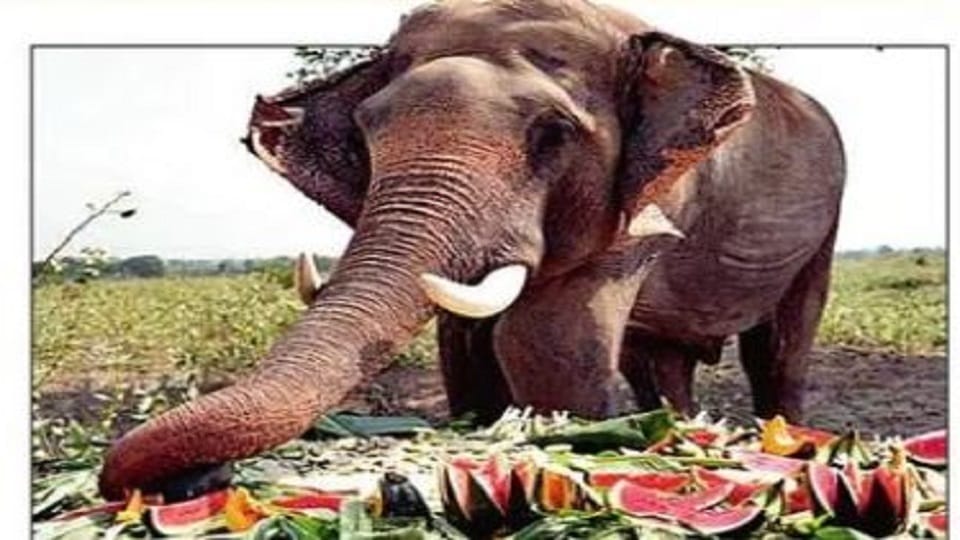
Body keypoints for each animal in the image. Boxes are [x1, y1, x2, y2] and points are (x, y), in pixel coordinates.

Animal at [98, 0, 845, 500]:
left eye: (552, 135)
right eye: (366, 131)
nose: (196, 479)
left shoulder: (647, 202)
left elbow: (547, 347)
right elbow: (463, 344)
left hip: (827, 225)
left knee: (779, 347)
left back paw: (784, 440)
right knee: (658, 359)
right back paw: (678, 432)